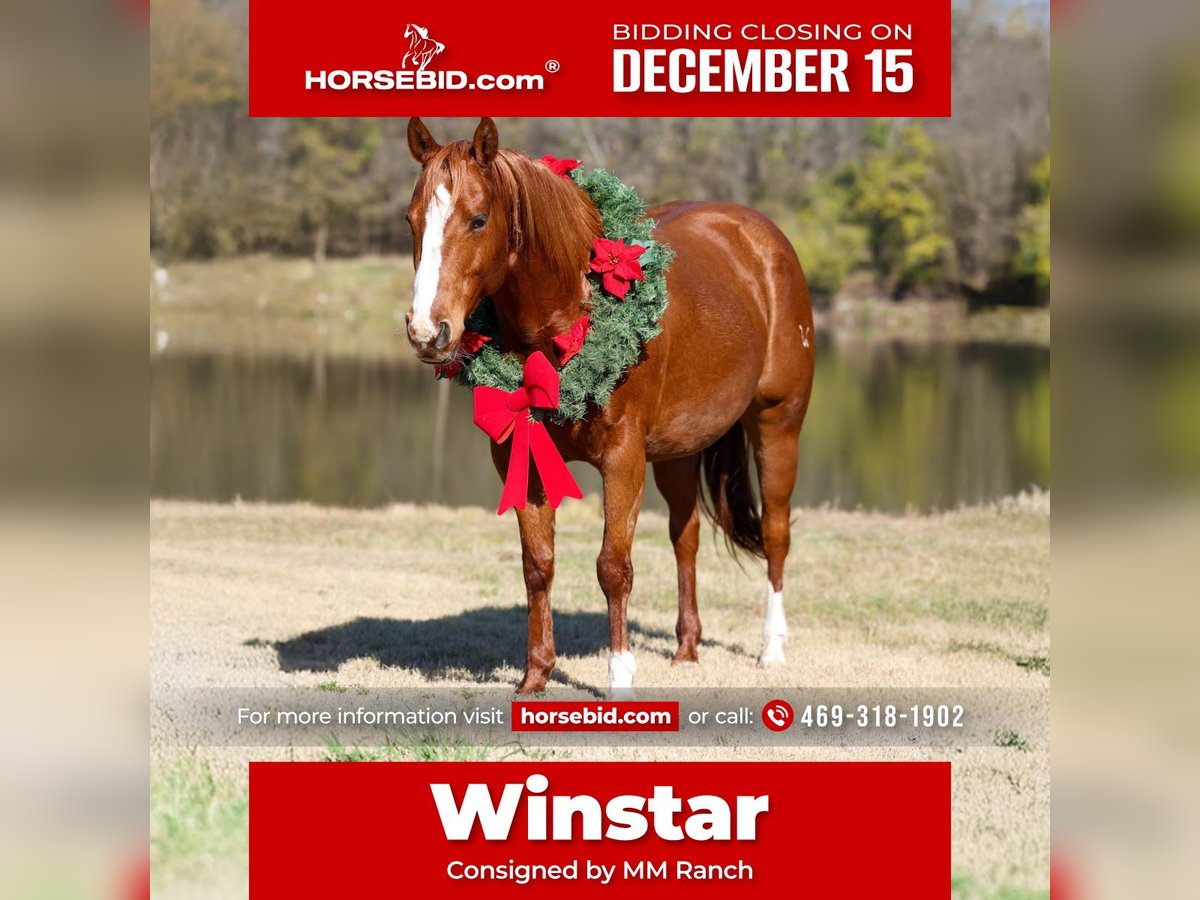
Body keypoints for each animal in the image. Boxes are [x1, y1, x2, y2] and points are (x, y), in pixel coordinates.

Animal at [403, 118, 815, 695]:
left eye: (477, 219)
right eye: (412, 219)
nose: (426, 331)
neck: (572, 314)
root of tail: (762, 240)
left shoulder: (622, 460)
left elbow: (613, 567)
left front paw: (619, 676)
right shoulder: (521, 460)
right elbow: (538, 565)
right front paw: (535, 675)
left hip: (778, 424)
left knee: (776, 533)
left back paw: (771, 649)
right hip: (678, 452)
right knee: (686, 536)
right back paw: (686, 648)